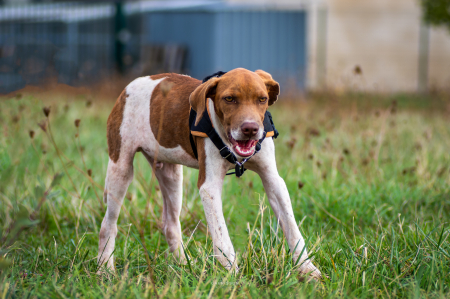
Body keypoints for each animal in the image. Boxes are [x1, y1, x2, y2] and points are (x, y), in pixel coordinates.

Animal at [98, 67, 322, 278]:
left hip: (172, 176)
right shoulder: (210, 187)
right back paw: (105, 269)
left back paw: (183, 265)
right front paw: (232, 275)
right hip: (120, 169)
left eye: (262, 99)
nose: (250, 129)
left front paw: (307, 269)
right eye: (229, 99)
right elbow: (222, 236)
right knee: (108, 224)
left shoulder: (273, 180)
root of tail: (128, 88)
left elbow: (292, 227)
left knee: (170, 224)